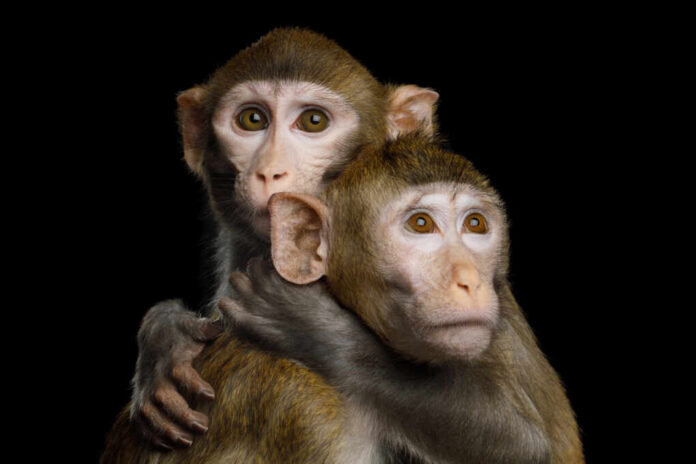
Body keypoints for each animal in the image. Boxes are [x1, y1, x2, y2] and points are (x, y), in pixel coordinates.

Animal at [102, 134, 583, 463]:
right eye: (422, 224)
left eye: (476, 224)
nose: (469, 279)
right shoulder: (305, 405)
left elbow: (527, 444)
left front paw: (313, 328)